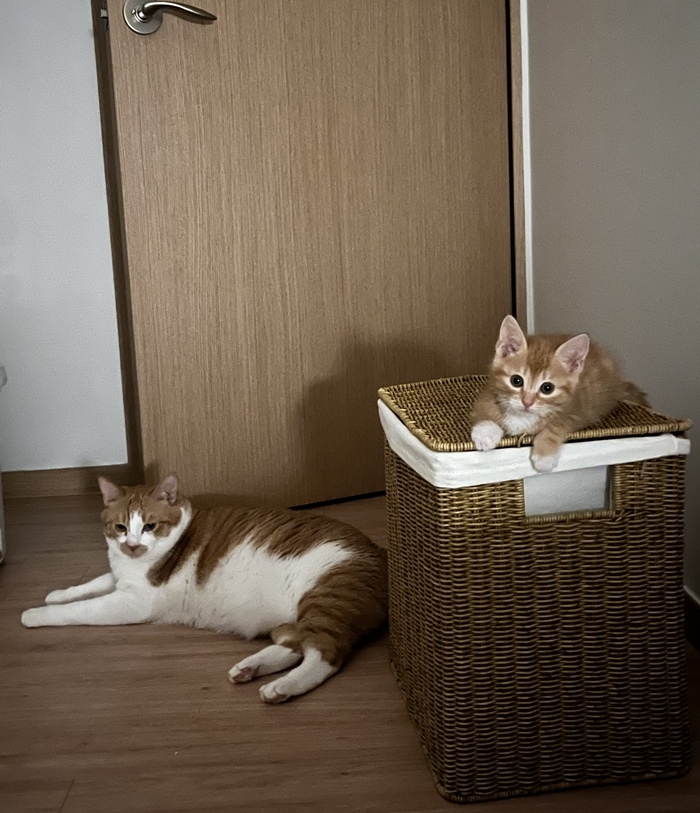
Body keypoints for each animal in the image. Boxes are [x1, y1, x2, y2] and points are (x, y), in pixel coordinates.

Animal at [21, 475, 388, 704]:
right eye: (121, 527)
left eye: (150, 525)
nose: (133, 545)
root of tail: (382, 551)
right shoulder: (121, 578)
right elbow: (92, 583)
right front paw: (58, 593)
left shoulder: (133, 601)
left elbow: (78, 610)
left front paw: (36, 613)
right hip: (298, 616)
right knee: (295, 643)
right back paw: (250, 668)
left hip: (326, 597)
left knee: (324, 655)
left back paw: (281, 687)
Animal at [470, 315, 649, 472]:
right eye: (516, 380)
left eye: (547, 388)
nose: (527, 402)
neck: (522, 416)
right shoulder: (487, 394)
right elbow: (484, 412)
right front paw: (485, 433)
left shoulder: (577, 410)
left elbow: (556, 425)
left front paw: (544, 456)